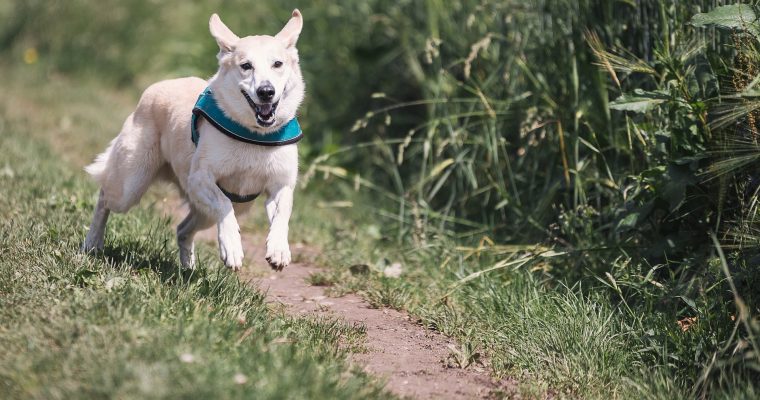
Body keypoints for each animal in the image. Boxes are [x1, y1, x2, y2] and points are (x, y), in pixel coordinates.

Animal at [81, 10, 304, 272]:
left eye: (277, 64)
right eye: (246, 66)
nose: (266, 91)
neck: (254, 135)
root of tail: (157, 86)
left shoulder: (281, 185)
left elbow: (282, 214)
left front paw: (278, 250)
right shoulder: (199, 179)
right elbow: (223, 204)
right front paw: (232, 248)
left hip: (214, 210)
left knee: (182, 229)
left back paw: (188, 269)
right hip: (130, 185)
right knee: (104, 197)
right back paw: (92, 243)